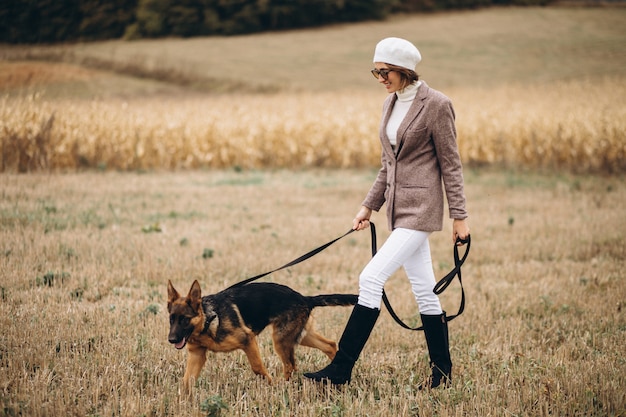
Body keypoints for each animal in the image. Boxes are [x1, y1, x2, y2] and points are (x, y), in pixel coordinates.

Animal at [166, 280, 356, 390]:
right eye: (171, 319)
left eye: (185, 320)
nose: (171, 340)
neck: (208, 319)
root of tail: (305, 298)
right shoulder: (196, 355)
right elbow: (186, 381)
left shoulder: (248, 340)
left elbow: (257, 368)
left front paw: (271, 384)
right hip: (300, 336)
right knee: (330, 345)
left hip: (281, 340)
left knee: (290, 366)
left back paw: (283, 386)